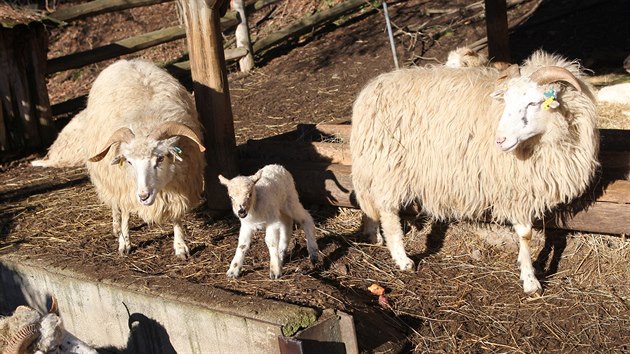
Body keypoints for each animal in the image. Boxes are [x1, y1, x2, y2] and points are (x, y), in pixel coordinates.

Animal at [32, 58, 205, 260]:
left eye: (160, 159)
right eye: (129, 161)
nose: (143, 196)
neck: (146, 120)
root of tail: (126, 61)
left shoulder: (180, 184)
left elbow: (176, 215)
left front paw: (180, 246)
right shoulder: (123, 184)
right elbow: (126, 214)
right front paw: (124, 242)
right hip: (109, 176)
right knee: (116, 206)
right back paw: (116, 227)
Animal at [350, 49, 604, 294]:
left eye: (534, 103)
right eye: (506, 101)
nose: (500, 140)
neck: (545, 140)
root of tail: (370, 90)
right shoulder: (516, 185)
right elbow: (525, 234)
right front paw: (530, 280)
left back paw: (373, 235)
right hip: (389, 164)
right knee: (388, 211)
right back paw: (402, 259)